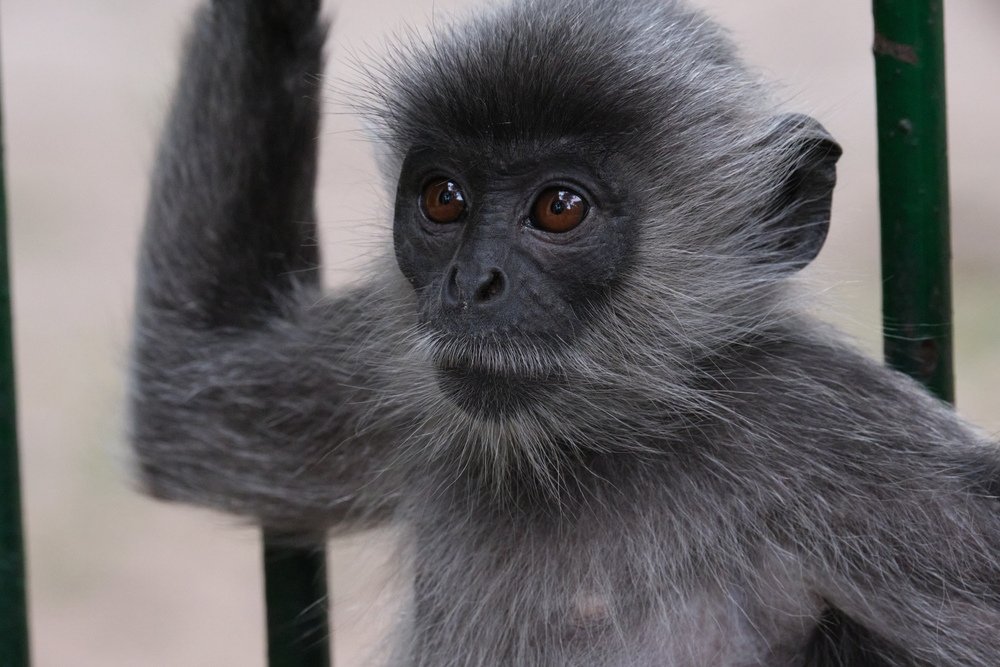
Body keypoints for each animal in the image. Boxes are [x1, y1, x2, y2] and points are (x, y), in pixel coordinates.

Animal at [129, 0, 1000, 664]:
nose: (471, 283)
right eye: (444, 198)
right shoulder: (388, 357)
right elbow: (177, 407)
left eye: (559, 208)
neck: (594, 449)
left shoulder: (822, 424)